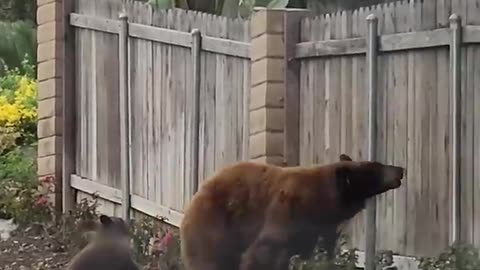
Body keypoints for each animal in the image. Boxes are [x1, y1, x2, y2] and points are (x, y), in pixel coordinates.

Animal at [180, 154, 404, 270]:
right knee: (210, 259)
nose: (401, 169)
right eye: (376, 167)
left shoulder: (313, 231)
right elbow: (264, 250)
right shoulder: (287, 213)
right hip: (214, 227)